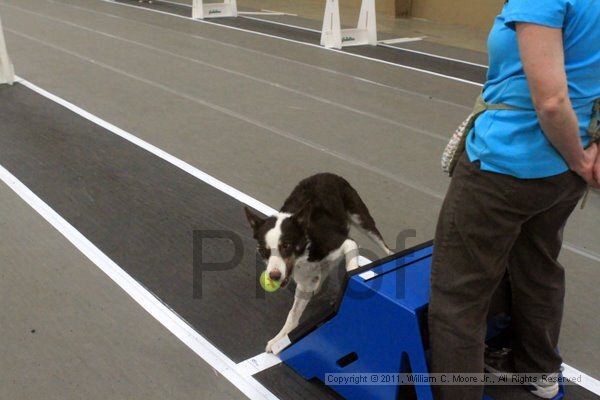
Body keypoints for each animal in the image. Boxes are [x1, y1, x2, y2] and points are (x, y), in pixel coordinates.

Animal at [245, 173, 394, 354]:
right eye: (263, 250)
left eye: (286, 246)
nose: (274, 276)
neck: (306, 247)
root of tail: (326, 174)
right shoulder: (304, 283)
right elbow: (293, 314)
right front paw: (279, 338)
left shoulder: (345, 242)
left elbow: (351, 264)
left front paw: (353, 275)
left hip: (361, 219)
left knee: (384, 245)